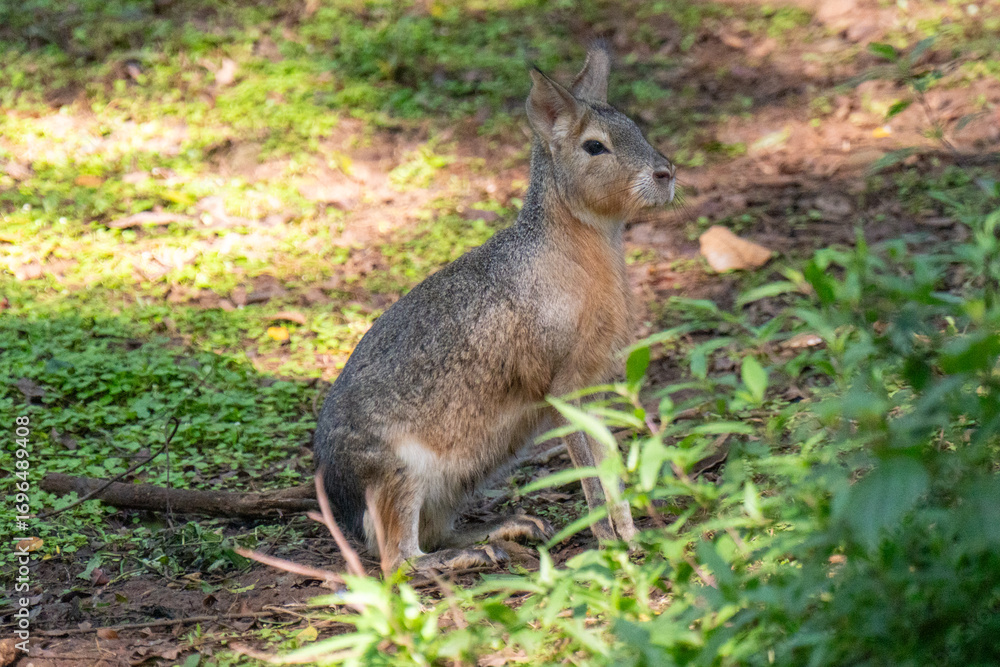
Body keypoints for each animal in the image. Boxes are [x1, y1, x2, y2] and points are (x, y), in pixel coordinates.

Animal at [313, 45, 676, 574]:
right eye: (595, 146)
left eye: (636, 127)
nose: (666, 174)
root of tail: (341, 503)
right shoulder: (562, 388)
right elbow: (590, 475)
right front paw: (611, 548)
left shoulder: (593, 387)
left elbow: (611, 465)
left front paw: (634, 537)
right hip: (398, 474)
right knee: (399, 560)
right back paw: (473, 553)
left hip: (460, 477)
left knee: (431, 535)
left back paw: (510, 529)